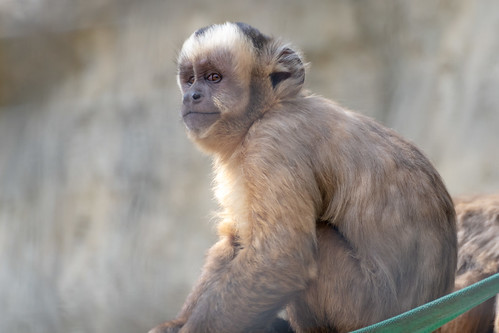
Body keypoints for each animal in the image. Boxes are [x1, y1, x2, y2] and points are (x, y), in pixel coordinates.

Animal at [150, 22, 458, 330]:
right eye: (190, 80)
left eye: (214, 78)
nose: (191, 95)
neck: (267, 110)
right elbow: (236, 240)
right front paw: (173, 325)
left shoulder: (273, 140)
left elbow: (281, 258)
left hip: (366, 306)